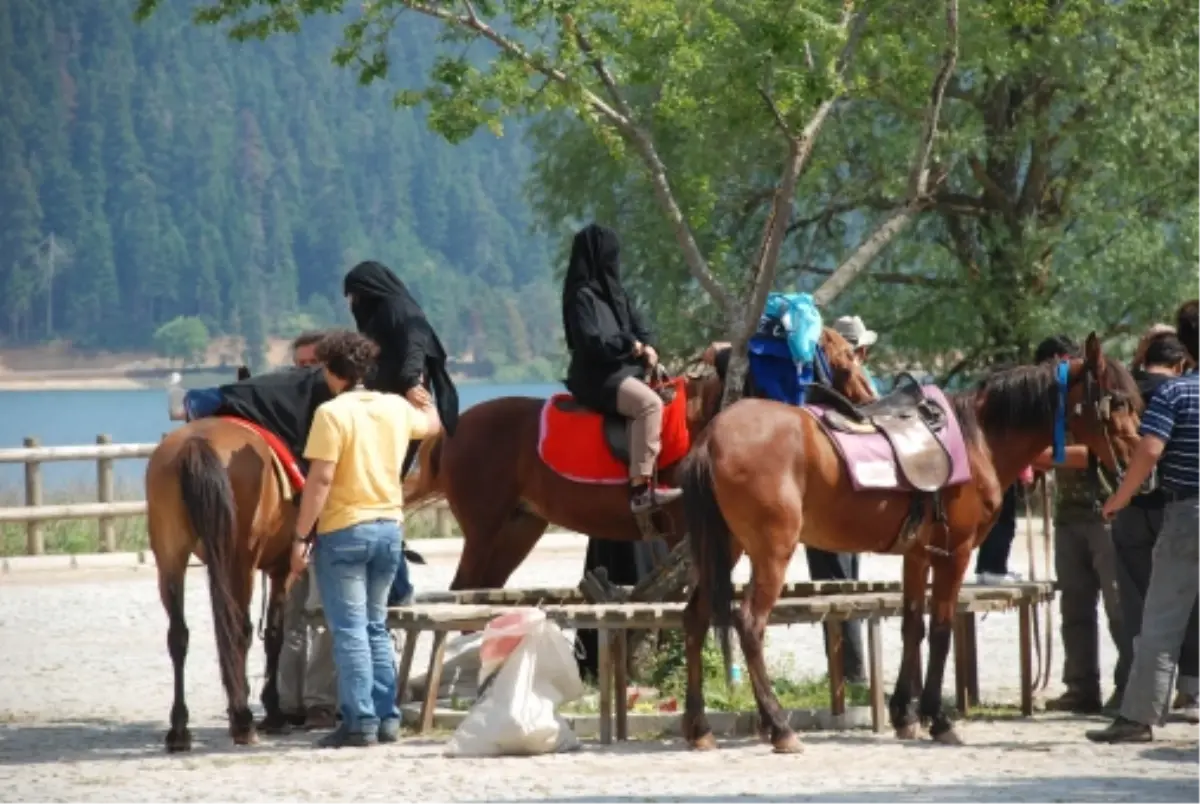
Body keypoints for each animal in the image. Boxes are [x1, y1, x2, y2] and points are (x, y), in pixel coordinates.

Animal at [145, 422, 295, 758]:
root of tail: (196, 442)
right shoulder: (286, 568)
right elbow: (275, 634)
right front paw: (272, 710)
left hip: (170, 555)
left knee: (179, 635)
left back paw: (179, 730)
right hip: (240, 560)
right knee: (239, 632)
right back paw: (243, 721)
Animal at [403, 328, 873, 592]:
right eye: (846, 364)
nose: (868, 406)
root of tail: (453, 427)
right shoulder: (688, 532)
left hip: (518, 528)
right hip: (485, 528)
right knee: (463, 591)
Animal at [681, 331, 1137, 753]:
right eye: (1116, 401)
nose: (1137, 463)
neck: (977, 438)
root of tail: (712, 435)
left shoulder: (917, 555)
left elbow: (913, 626)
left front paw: (905, 714)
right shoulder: (955, 554)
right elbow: (941, 629)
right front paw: (939, 719)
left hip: (725, 547)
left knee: (695, 617)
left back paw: (699, 727)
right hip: (772, 551)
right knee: (749, 623)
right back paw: (780, 727)